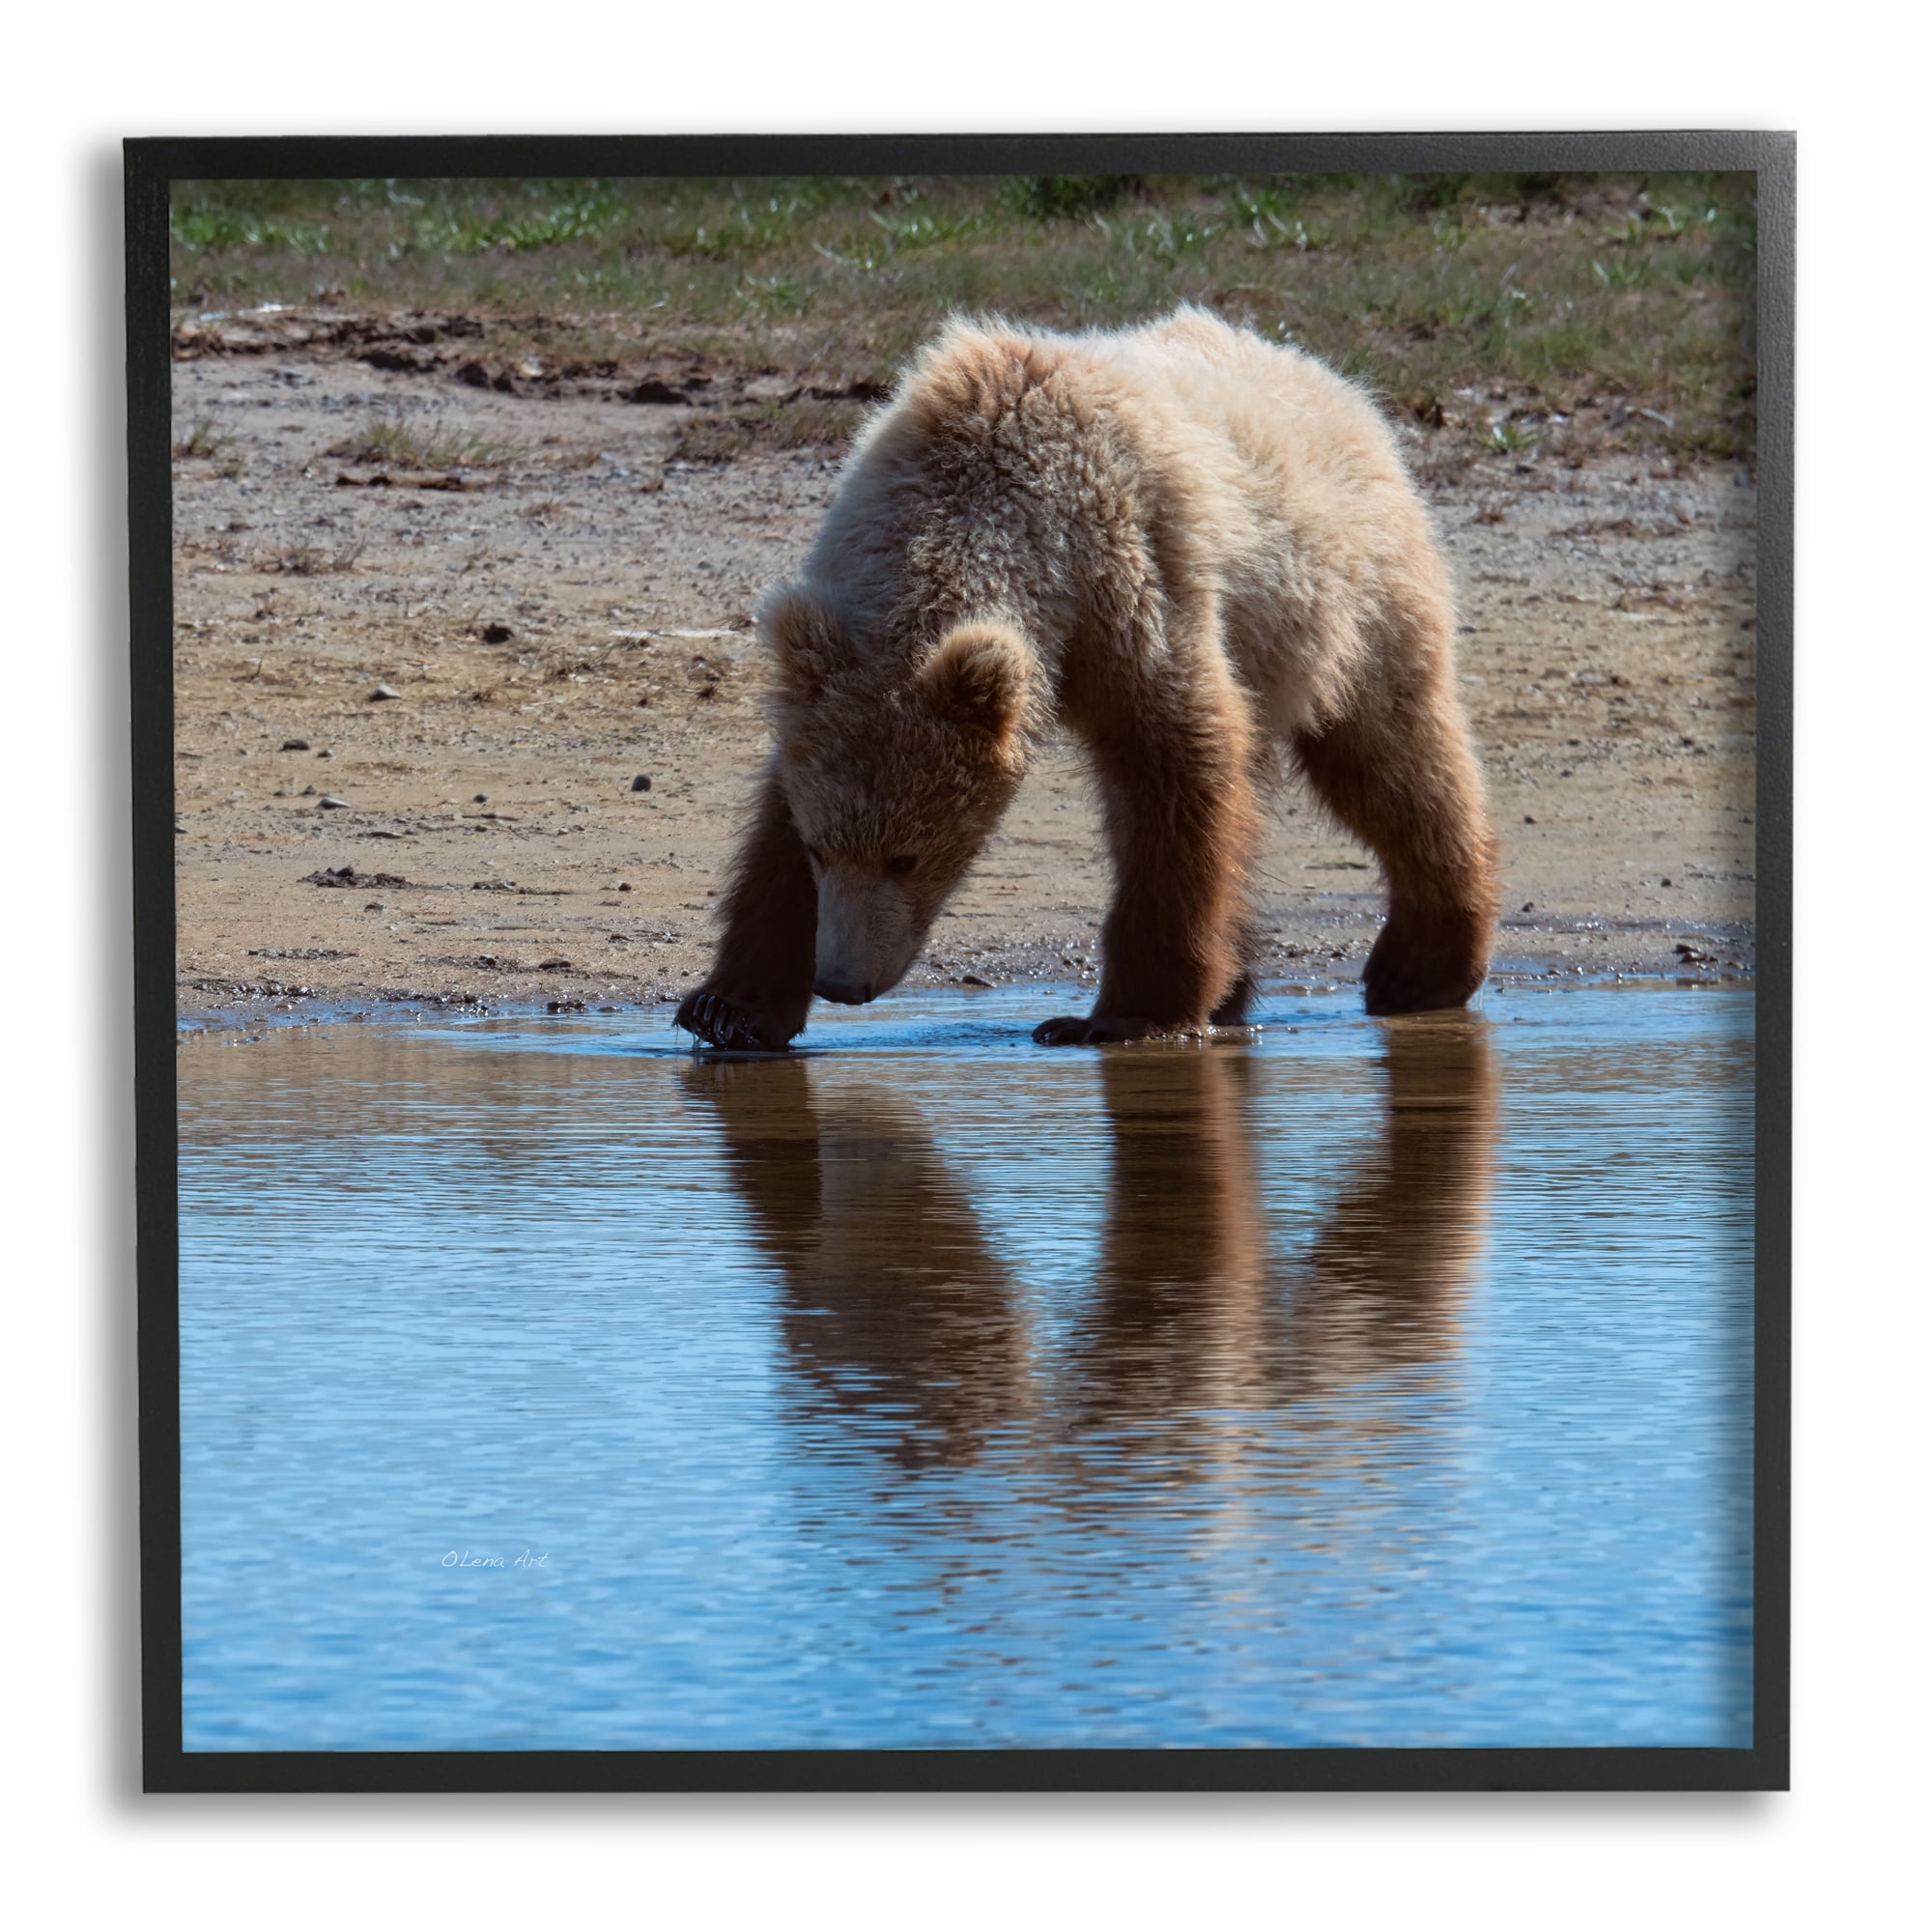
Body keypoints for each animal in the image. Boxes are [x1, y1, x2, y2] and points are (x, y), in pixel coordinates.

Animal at [675, 305, 1499, 1051]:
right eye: (822, 849)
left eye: (907, 855)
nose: (844, 982)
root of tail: (1336, 383)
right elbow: (774, 818)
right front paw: (728, 1008)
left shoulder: (1130, 582)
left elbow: (1174, 769)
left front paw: (1120, 1014)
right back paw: (1240, 987)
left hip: (1349, 601)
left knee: (1391, 761)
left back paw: (1420, 966)